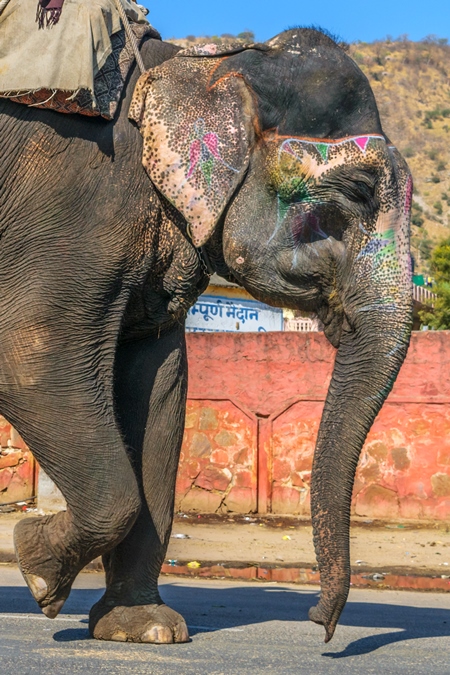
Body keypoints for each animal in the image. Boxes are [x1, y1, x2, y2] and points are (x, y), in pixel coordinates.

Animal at [0, 27, 414, 644]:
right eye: (358, 192)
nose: (319, 623)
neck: (197, 65)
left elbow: (159, 388)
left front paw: (143, 628)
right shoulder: (76, 204)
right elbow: (30, 356)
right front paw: (37, 568)